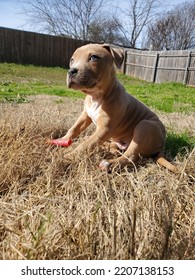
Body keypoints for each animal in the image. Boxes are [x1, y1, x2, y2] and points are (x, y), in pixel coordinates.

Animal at [61, 43, 177, 173]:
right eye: (72, 60)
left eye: (94, 57)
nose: (71, 71)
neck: (96, 96)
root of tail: (162, 145)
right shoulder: (85, 115)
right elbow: (74, 129)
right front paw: (63, 140)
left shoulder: (105, 129)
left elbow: (87, 144)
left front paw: (69, 156)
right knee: (113, 148)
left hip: (144, 126)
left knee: (130, 156)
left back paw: (109, 164)